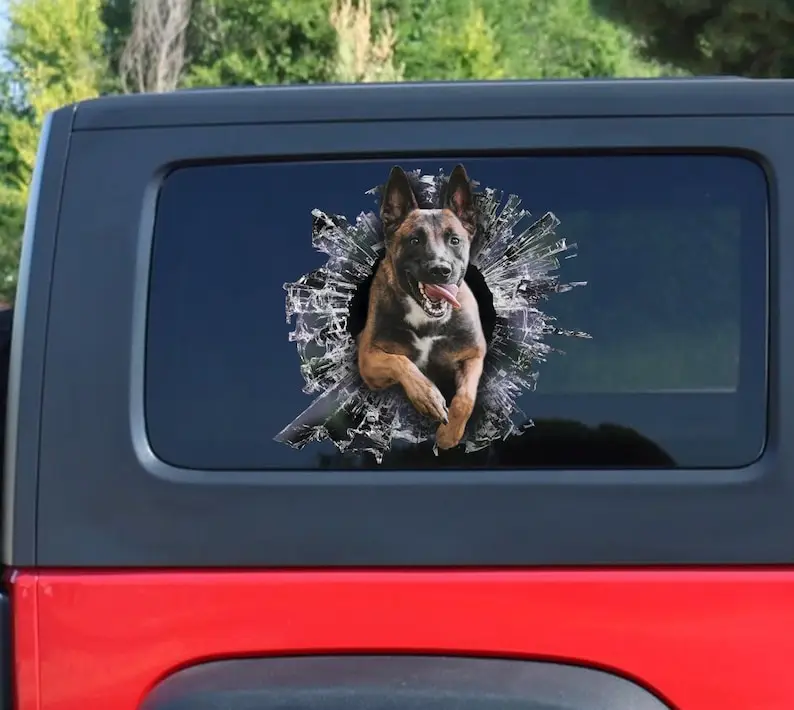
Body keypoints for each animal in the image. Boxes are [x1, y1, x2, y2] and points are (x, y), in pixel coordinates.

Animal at [356, 165, 486, 450]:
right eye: (415, 240)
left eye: (454, 240)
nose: (441, 270)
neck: (428, 319)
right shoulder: (368, 358)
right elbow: (401, 361)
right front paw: (428, 397)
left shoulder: (474, 354)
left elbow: (466, 398)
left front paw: (449, 435)